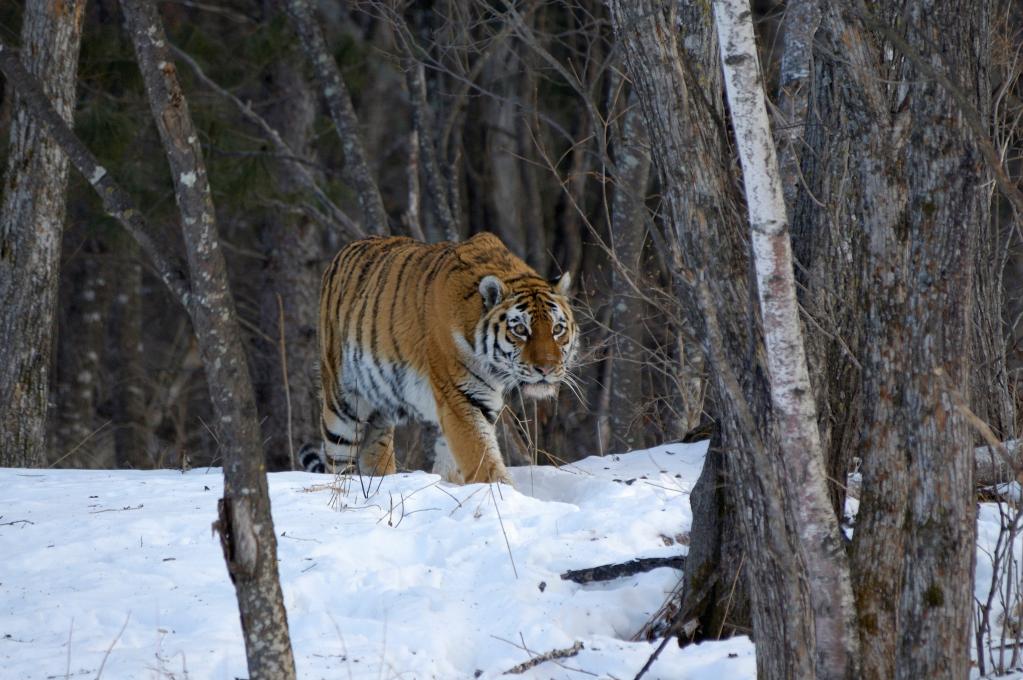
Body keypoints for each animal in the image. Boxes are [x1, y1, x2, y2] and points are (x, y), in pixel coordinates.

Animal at [298, 232, 581, 482]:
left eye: (557, 329)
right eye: (520, 330)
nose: (546, 368)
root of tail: (343, 251)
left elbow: (455, 462)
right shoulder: (460, 396)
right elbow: (482, 458)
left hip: (378, 408)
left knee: (374, 453)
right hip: (342, 406)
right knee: (338, 463)